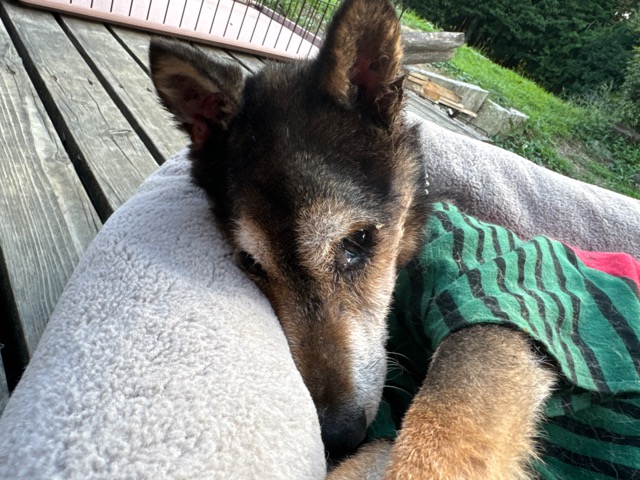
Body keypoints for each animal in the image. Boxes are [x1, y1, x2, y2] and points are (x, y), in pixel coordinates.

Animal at [148, 0, 640, 478]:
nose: (338, 435)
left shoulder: (499, 306)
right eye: (251, 264)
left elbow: (434, 447)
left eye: (359, 241)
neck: (410, 256)